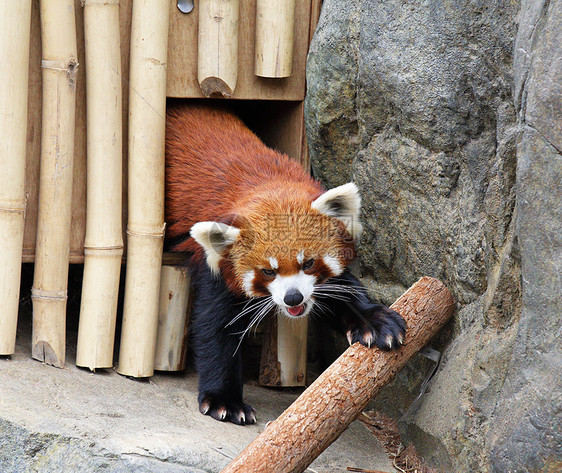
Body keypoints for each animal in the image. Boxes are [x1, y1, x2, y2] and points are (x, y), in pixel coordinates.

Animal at [164, 103, 404, 424]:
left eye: (309, 263)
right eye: (268, 271)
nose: (293, 297)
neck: (266, 183)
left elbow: (341, 291)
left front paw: (374, 321)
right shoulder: (214, 266)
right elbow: (215, 328)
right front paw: (225, 400)